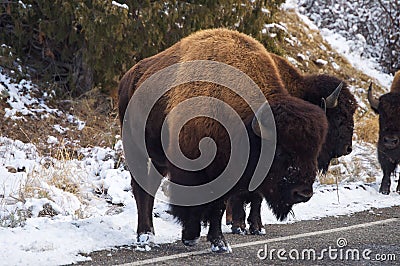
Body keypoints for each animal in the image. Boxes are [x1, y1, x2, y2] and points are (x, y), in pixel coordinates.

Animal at [118, 28, 328, 252]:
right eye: (280, 151)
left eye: (314, 150)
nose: (303, 194)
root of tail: (128, 78)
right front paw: (192, 237)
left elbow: (217, 207)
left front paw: (219, 242)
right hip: (135, 149)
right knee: (140, 188)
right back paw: (145, 235)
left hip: (158, 159)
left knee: (150, 186)